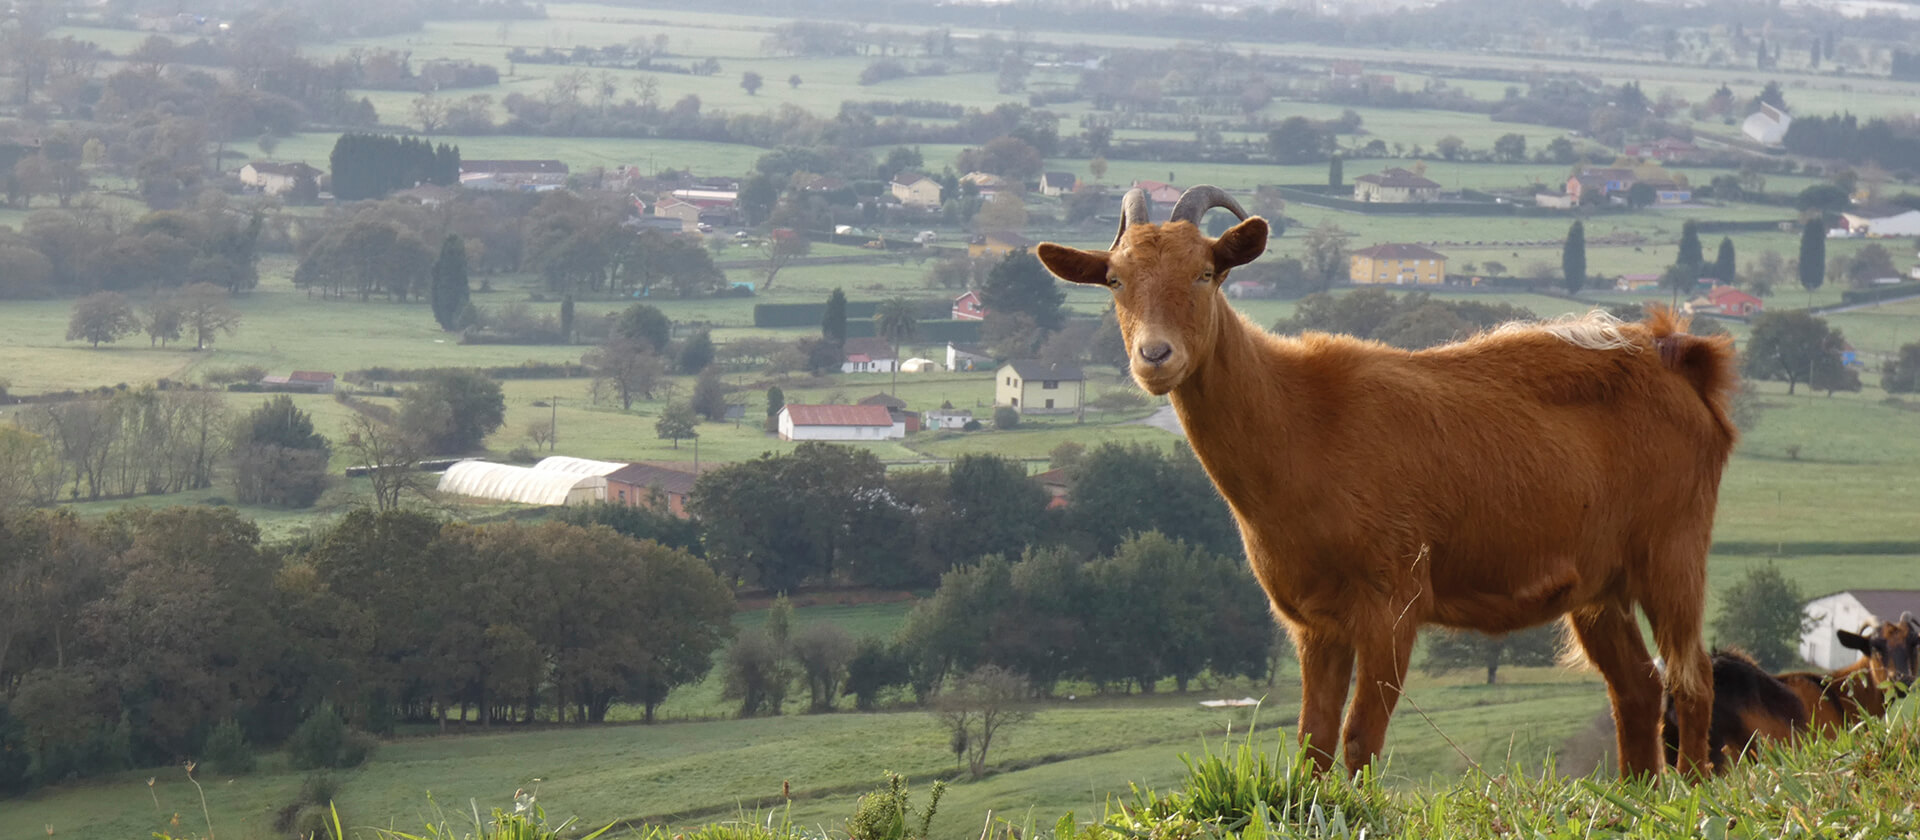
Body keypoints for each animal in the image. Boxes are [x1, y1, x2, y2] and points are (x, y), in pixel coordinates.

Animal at [1036, 186, 1743, 778]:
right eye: (1115, 279)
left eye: (1205, 272)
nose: (1155, 357)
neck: (1301, 423)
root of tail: (1678, 359)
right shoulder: (1313, 621)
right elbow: (1314, 740)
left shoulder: (1392, 604)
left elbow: (1360, 737)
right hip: (1600, 586)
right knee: (1637, 687)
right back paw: (1636, 794)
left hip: (1672, 552)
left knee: (1692, 679)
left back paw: (1690, 792)